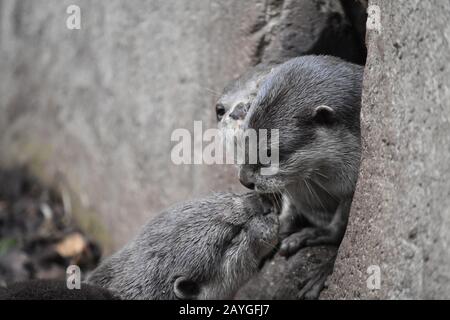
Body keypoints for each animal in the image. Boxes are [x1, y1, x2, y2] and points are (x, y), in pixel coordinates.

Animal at [234, 55, 364, 255]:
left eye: (269, 153)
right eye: (244, 136)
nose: (244, 180)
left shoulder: (351, 187)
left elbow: (339, 224)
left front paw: (311, 235)